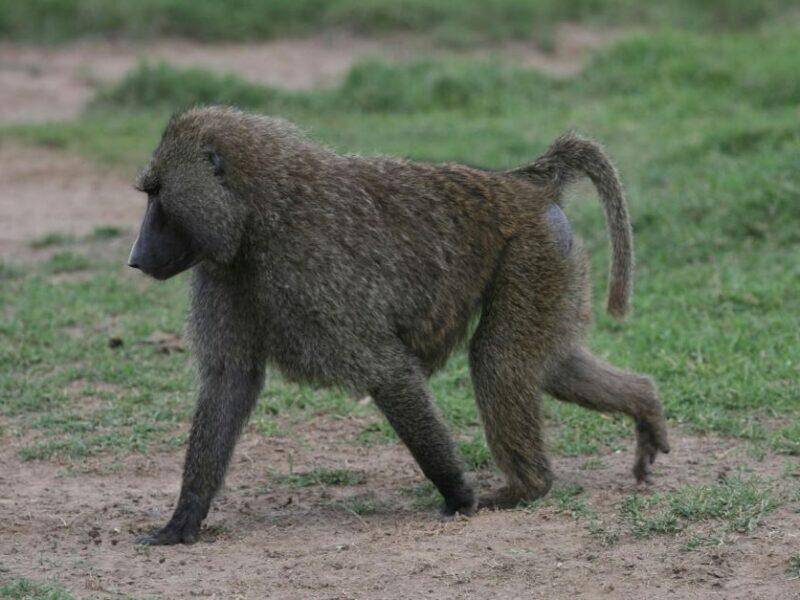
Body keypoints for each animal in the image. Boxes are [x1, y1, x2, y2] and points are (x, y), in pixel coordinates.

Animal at [128, 106, 669, 545]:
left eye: (158, 197)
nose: (135, 258)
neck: (260, 210)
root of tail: (523, 184)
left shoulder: (313, 269)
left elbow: (386, 372)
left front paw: (458, 496)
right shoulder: (223, 272)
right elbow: (228, 381)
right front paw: (183, 519)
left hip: (533, 252)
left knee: (498, 360)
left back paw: (527, 489)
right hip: (555, 259)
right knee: (551, 364)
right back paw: (644, 404)